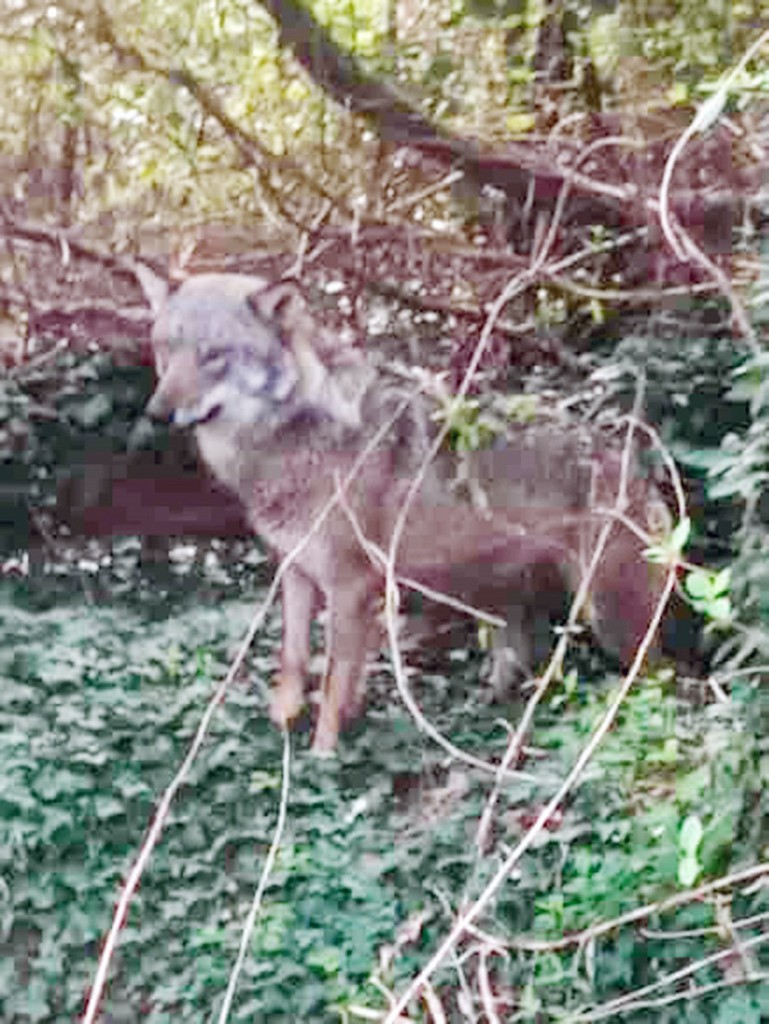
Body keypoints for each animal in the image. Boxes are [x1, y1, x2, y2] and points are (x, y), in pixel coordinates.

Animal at [136, 264, 675, 753]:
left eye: (214, 356)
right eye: (166, 349)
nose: (157, 414)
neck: (295, 439)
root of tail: (637, 466)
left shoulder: (351, 588)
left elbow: (332, 682)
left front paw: (322, 755)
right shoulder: (296, 571)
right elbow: (294, 660)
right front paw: (283, 725)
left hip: (610, 620)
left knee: (662, 685)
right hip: (510, 609)